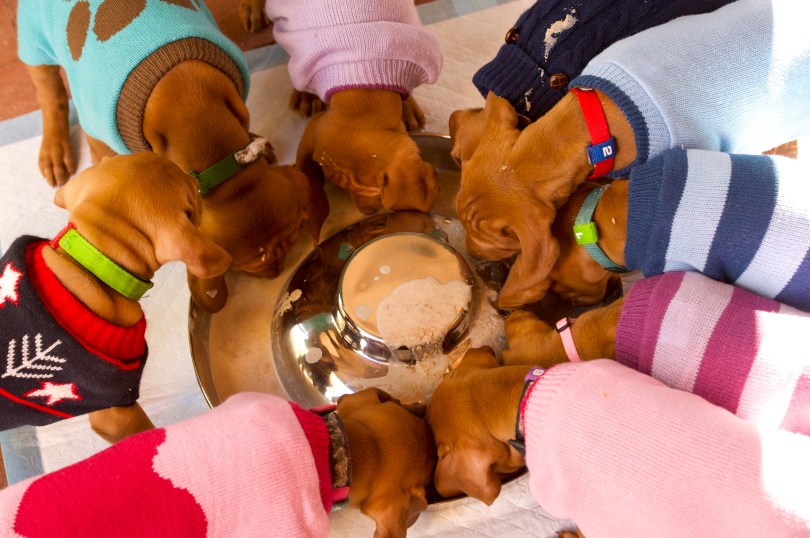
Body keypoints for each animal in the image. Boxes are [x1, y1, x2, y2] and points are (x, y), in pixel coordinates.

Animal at [19, 0, 328, 313]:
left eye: (292, 239)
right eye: (243, 265)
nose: (276, 273)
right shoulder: (94, 123)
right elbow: (97, 152)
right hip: (35, 43)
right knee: (50, 95)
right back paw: (54, 149)